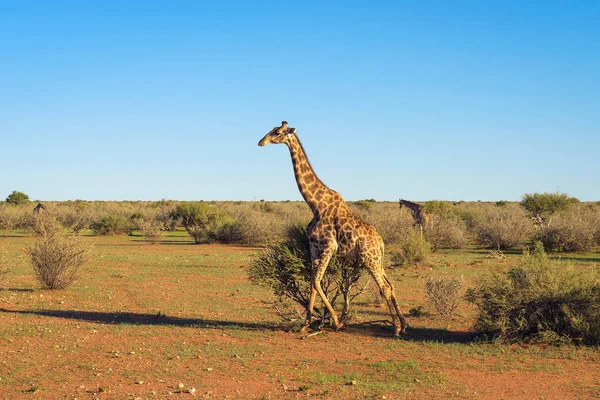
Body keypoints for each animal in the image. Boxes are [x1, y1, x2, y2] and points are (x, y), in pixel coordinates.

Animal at [258, 120, 408, 336]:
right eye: (271, 130)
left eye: (277, 132)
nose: (261, 142)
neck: (315, 205)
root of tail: (380, 242)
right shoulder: (313, 247)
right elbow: (312, 282)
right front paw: (306, 323)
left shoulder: (330, 247)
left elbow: (317, 281)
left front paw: (336, 321)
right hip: (377, 260)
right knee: (391, 284)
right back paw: (403, 325)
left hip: (369, 259)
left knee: (384, 287)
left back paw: (395, 328)